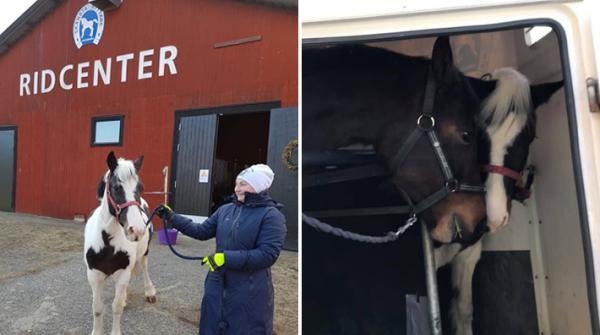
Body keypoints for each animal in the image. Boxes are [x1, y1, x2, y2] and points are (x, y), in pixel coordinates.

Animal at [84, 153, 157, 335]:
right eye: (117, 188)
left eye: (140, 187)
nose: (136, 230)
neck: (107, 243)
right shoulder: (94, 276)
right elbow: (97, 308)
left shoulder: (123, 273)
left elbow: (116, 308)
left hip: (144, 253)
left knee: (144, 267)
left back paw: (149, 292)